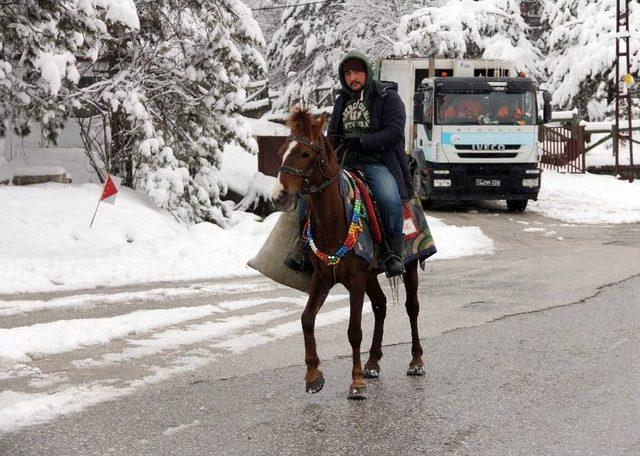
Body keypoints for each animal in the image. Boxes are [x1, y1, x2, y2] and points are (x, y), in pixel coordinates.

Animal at [270, 107, 424, 400]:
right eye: (283, 150)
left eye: (305, 153)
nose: (279, 195)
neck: (334, 220)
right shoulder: (323, 278)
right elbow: (307, 319)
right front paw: (313, 377)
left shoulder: (355, 281)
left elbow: (354, 331)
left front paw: (356, 383)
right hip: (371, 275)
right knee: (380, 305)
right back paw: (373, 363)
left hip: (409, 267)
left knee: (412, 308)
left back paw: (416, 361)